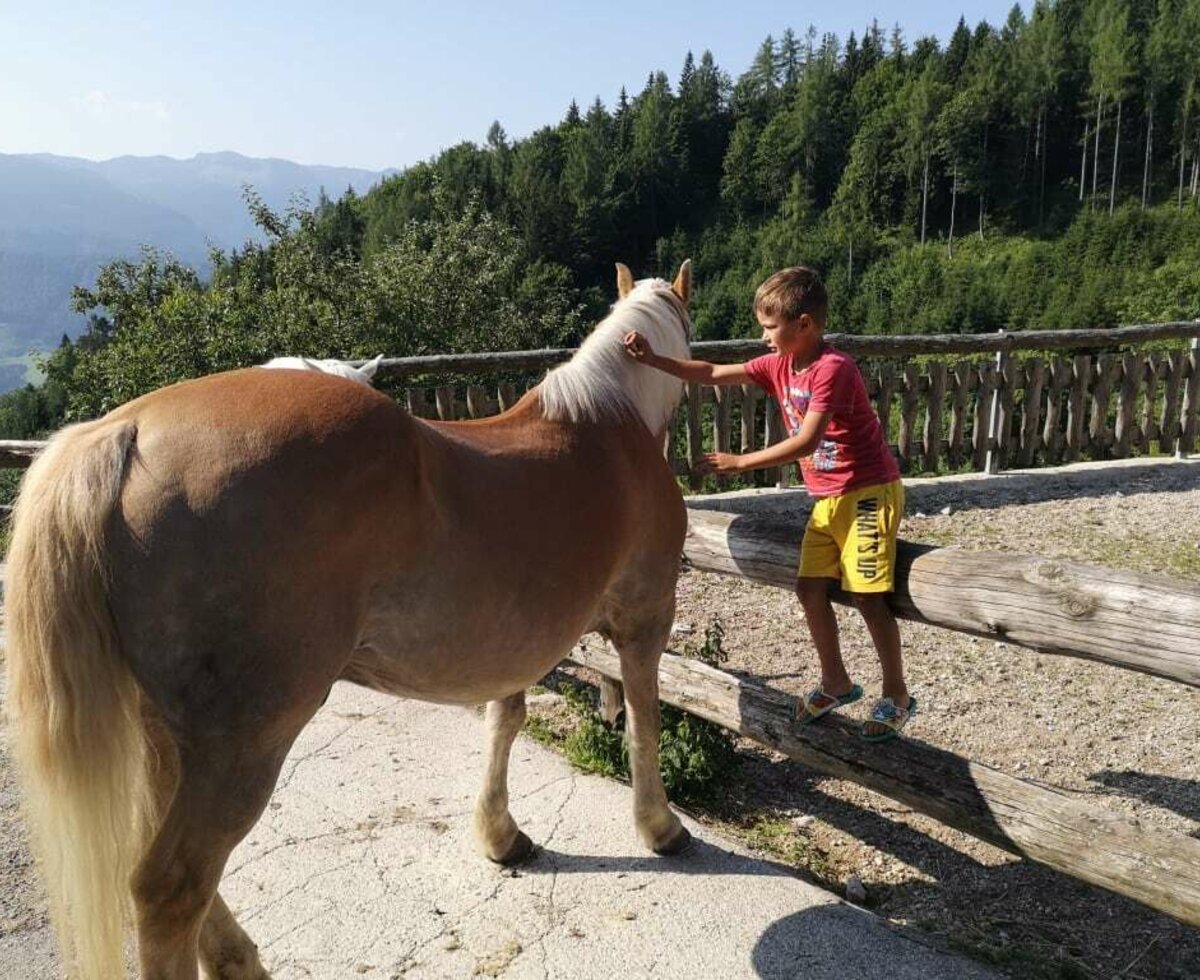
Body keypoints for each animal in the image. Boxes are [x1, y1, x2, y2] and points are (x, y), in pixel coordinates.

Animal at [2, 260, 696, 978]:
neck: (609, 427)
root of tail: (124, 430)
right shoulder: (645, 620)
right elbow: (644, 719)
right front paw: (660, 827)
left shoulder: (513, 645)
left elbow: (505, 722)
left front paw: (500, 836)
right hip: (241, 745)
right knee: (169, 888)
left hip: (165, 735)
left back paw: (239, 959)